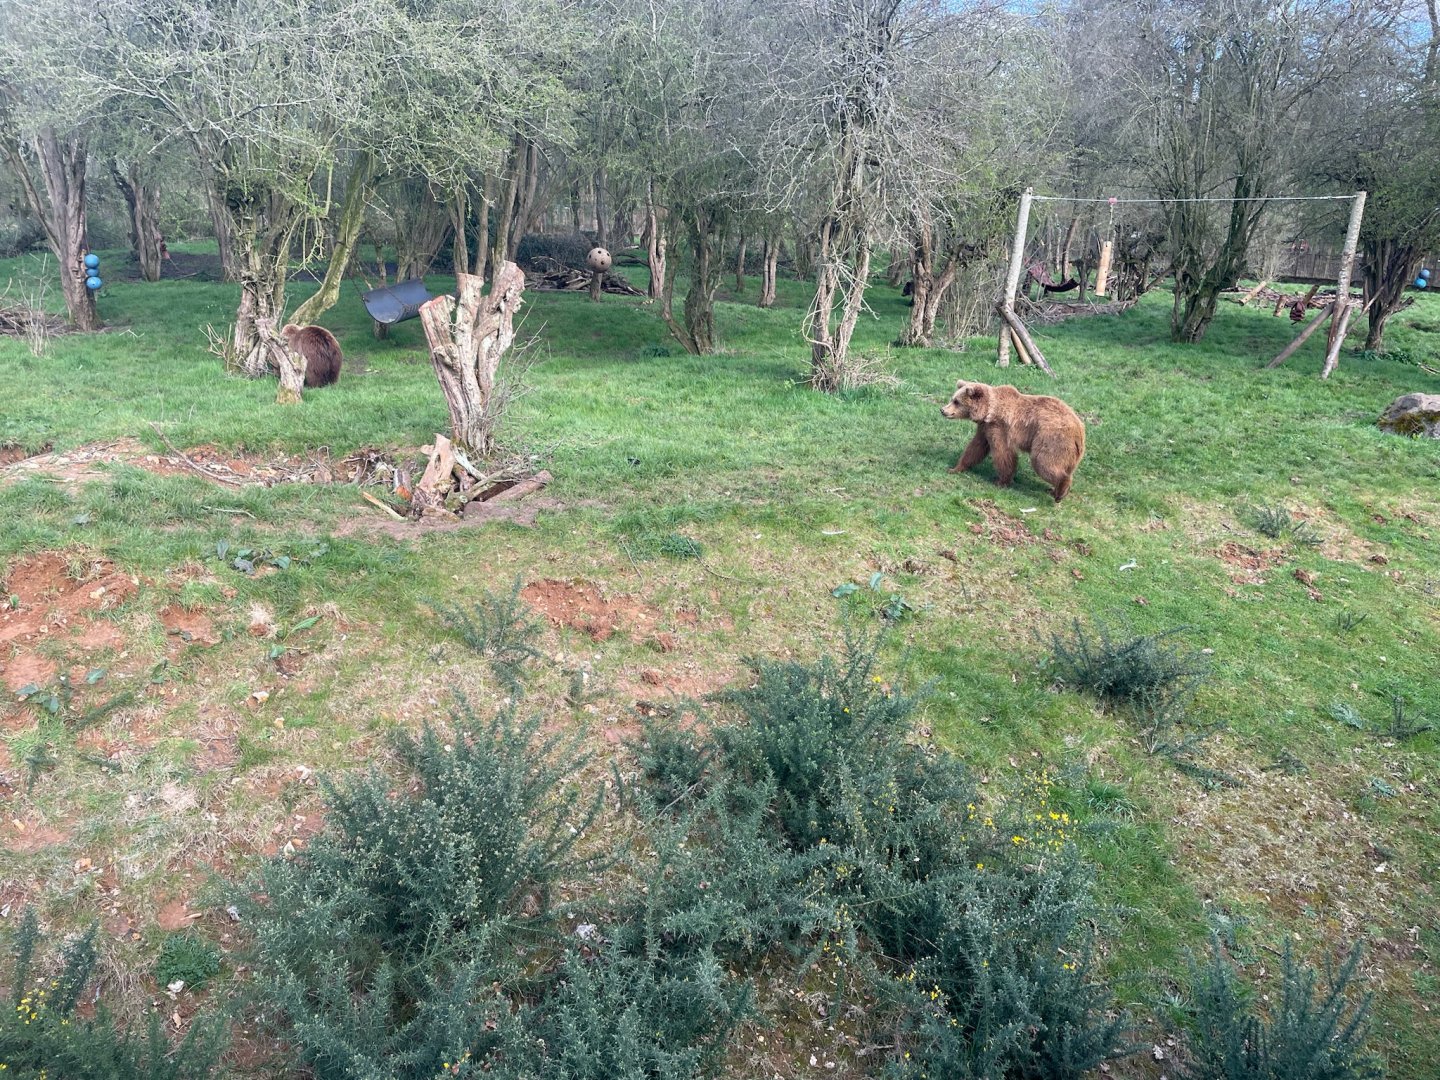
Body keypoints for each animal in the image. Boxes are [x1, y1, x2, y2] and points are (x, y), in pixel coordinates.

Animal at [940, 380, 1086, 502]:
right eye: (953, 398)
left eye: (957, 401)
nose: (942, 410)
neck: (989, 410)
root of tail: (1079, 431)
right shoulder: (985, 428)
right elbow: (975, 448)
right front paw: (955, 468)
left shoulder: (1000, 427)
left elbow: (1003, 454)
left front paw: (1001, 481)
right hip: (1069, 454)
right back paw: (1054, 490)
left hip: (1051, 440)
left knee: (1043, 462)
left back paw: (1061, 490)